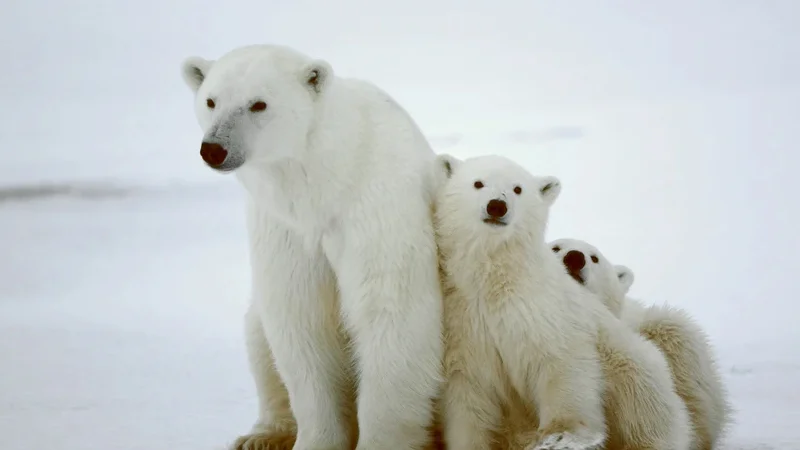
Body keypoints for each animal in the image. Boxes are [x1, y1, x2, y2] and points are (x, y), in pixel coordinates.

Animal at [180, 43, 444, 450]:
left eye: (258, 104)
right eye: (211, 100)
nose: (214, 149)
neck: (326, 181)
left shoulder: (376, 206)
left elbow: (391, 312)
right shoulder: (285, 227)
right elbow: (301, 319)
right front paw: (316, 440)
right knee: (258, 336)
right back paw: (260, 435)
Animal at [434, 153, 692, 448]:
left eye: (518, 189)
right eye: (478, 183)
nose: (497, 206)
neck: (497, 281)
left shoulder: (546, 310)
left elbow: (562, 363)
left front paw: (560, 435)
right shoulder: (465, 322)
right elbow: (468, 391)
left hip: (632, 365)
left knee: (642, 409)